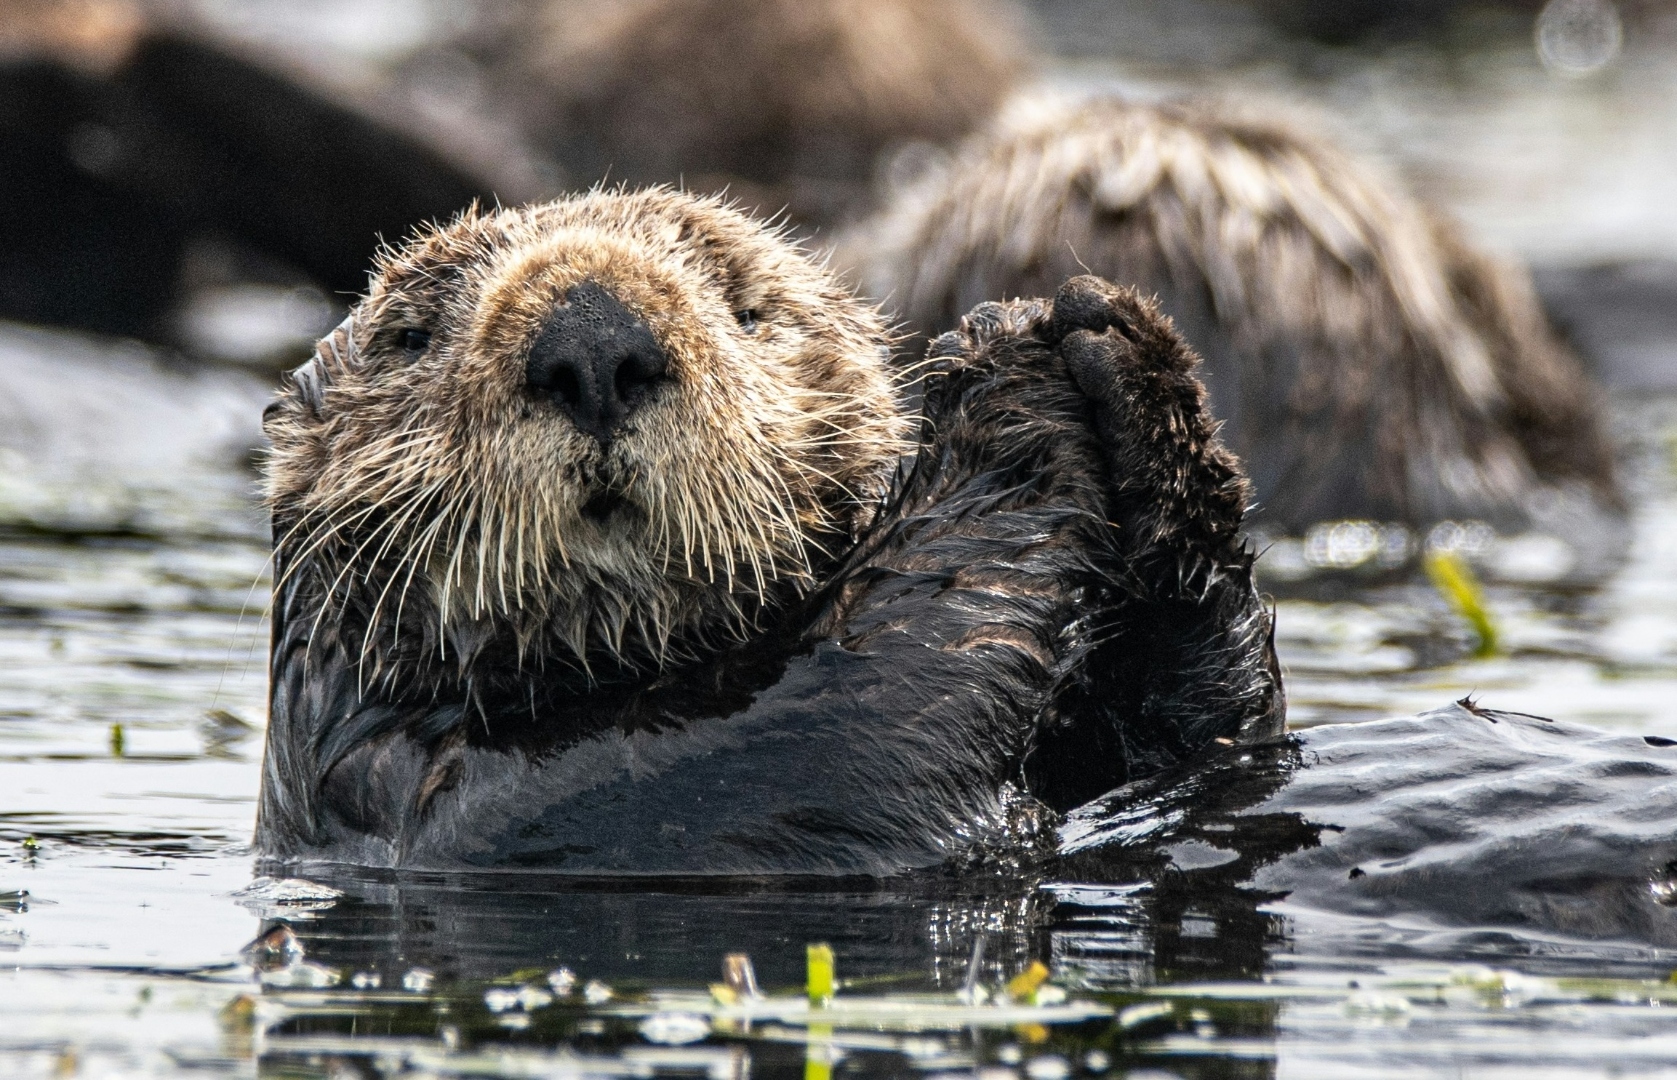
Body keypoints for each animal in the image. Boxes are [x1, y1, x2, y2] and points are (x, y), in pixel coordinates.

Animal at [255, 189, 1282, 874]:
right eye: (412, 336)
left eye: (746, 308)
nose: (591, 339)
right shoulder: (475, 804)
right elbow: (838, 716)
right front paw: (1001, 374)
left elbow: (1220, 746)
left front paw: (1125, 351)